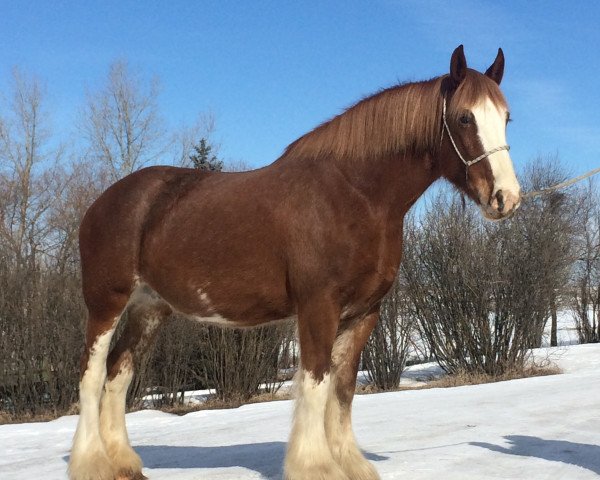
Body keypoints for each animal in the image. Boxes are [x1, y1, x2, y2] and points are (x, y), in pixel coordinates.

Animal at [69, 46, 520, 480]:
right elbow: (316, 381)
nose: (507, 198)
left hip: (149, 308)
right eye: (464, 117)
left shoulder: (363, 314)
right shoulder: (318, 306)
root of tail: (104, 202)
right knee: (92, 375)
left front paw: (350, 463)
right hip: (106, 303)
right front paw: (316, 466)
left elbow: (342, 388)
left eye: (506, 118)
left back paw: (124, 464)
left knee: (119, 373)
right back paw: (91, 464)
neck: (354, 196)